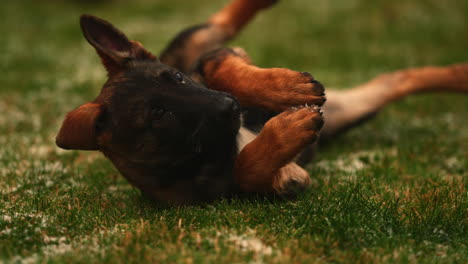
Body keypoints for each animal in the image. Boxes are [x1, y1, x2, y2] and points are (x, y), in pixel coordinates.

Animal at [55, 0, 468, 204]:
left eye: (176, 79)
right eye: (159, 114)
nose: (231, 107)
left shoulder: (216, 61)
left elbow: (221, 66)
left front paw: (287, 88)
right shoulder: (279, 183)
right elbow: (246, 169)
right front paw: (289, 127)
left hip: (192, 43)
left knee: (219, 25)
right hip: (359, 107)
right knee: (396, 79)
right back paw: (461, 74)